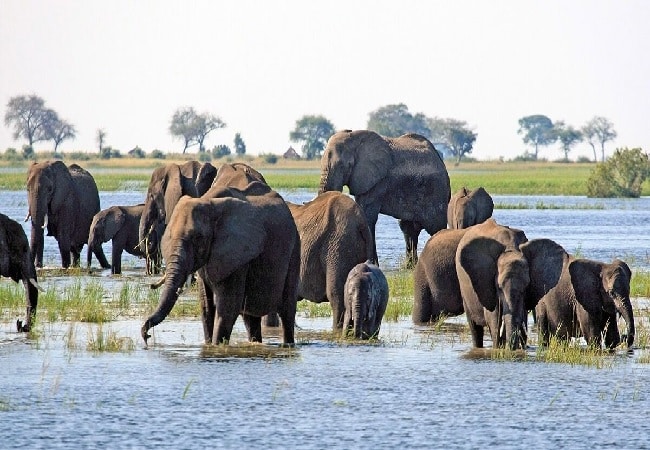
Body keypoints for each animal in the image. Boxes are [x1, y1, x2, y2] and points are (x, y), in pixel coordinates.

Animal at [142, 181, 300, 346]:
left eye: (198, 238)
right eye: (169, 236)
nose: (147, 335)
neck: (208, 203)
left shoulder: (237, 255)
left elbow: (228, 308)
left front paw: (217, 346)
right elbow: (206, 306)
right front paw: (208, 345)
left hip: (295, 249)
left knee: (287, 311)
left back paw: (288, 345)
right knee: (250, 318)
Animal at [319, 130, 451, 267]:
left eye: (342, 165)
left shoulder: (379, 182)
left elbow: (367, 215)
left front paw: (371, 265)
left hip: (436, 193)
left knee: (436, 227)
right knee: (408, 228)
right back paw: (410, 266)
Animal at [456, 219, 530, 349]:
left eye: (526, 288)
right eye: (499, 288)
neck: (510, 247)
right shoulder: (487, 284)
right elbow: (494, 320)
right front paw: (497, 348)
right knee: (475, 328)